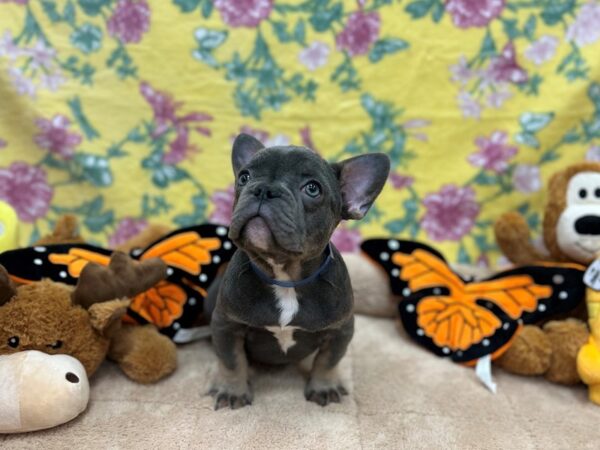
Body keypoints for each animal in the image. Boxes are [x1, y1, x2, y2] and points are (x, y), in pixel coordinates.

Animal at [209, 133, 392, 408]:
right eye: (244, 177)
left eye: (312, 188)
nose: (263, 189)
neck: (285, 276)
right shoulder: (226, 324)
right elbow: (232, 361)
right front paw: (233, 390)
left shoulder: (340, 330)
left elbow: (327, 361)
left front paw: (324, 387)